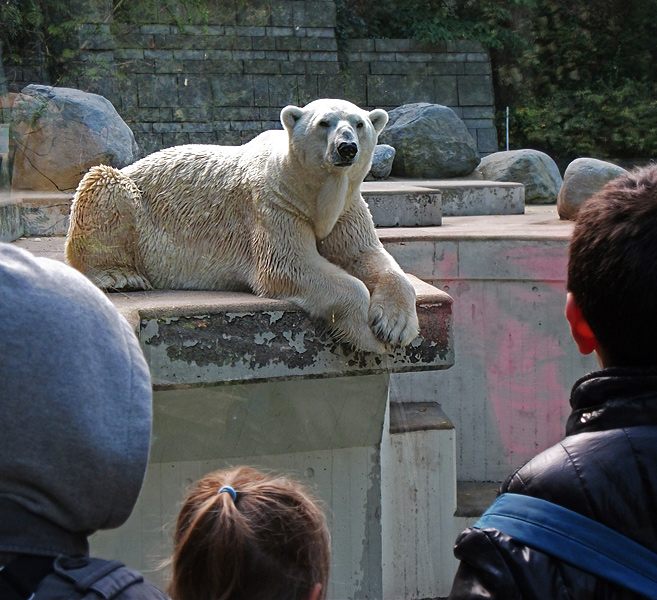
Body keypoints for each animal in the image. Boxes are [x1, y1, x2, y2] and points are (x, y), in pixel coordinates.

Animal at [65, 97, 416, 352]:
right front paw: (367, 335)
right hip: (131, 201)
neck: (309, 190)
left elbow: (366, 255)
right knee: (104, 184)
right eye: (324, 123)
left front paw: (395, 325)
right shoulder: (273, 204)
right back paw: (121, 276)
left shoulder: (348, 207)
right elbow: (288, 264)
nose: (347, 147)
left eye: (359, 124)